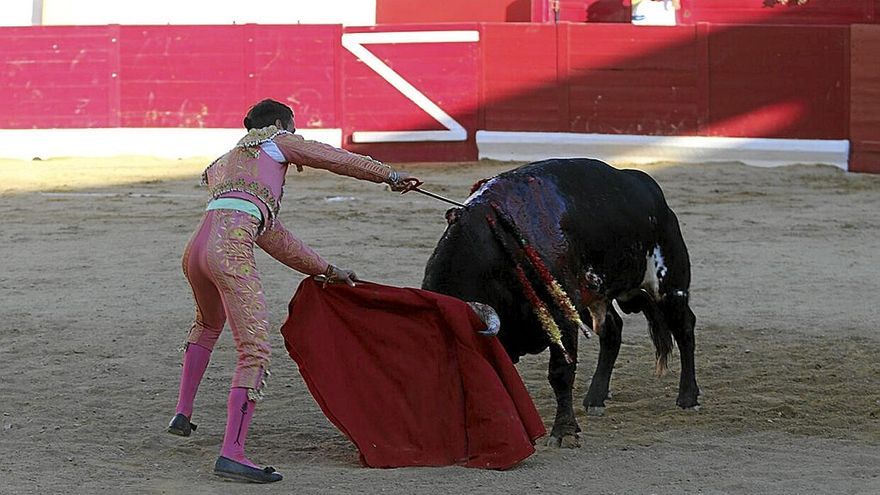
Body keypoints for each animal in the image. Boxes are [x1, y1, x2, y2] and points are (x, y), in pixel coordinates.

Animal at [422, 160, 696, 450]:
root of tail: (651, 191)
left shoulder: (561, 316)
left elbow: (560, 373)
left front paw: (565, 431)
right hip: (594, 299)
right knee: (612, 331)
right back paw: (596, 398)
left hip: (670, 286)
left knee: (685, 329)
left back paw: (688, 397)